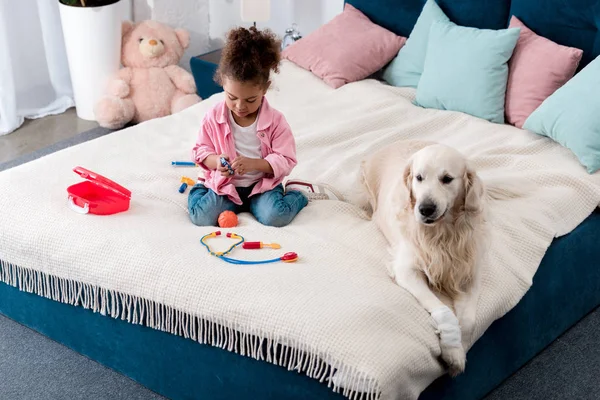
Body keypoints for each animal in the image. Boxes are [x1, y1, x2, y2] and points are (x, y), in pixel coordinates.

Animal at [358, 141, 494, 378]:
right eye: (419, 178)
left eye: (447, 178)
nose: (425, 209)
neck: (442, 235)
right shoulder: (406, 270)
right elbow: (444, 310)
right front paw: (452, 350)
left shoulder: (471, 273)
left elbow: (468, 321)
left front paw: (461, 349)